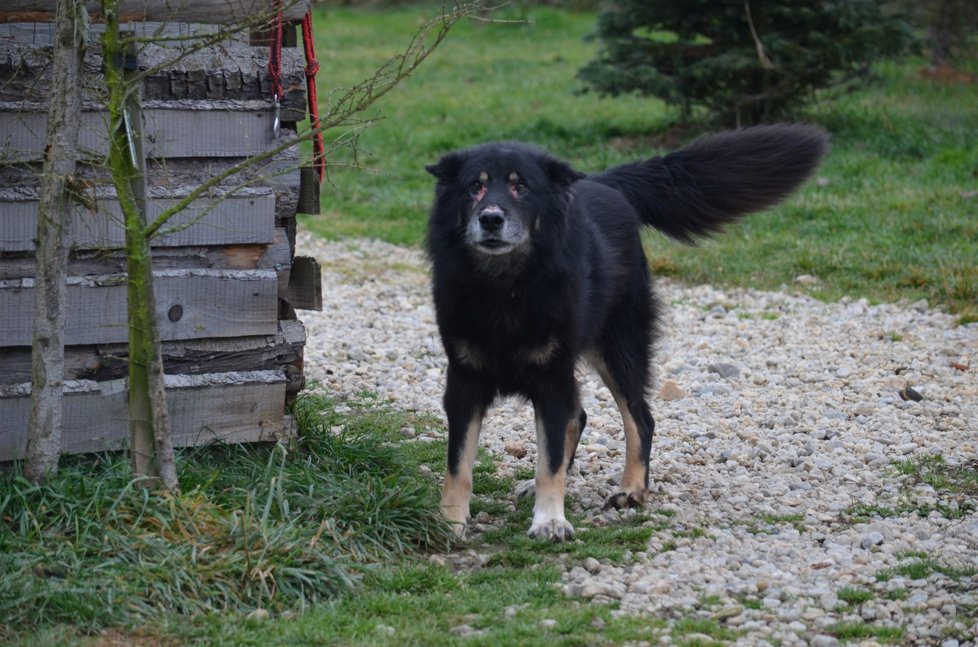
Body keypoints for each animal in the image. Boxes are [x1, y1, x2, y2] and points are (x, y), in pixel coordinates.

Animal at [424, 126, 828, 540]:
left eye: (520, 187)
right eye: (475, 186)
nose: (490, 219)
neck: (505, 285)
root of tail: (605, 183)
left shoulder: (552, 376)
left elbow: (549, 459)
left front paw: (550, 520)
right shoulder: (464, 379)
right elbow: (458, 464)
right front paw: (450, 522)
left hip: (620, 348)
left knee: (640, 419)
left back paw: (631, 490)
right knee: (581, 415)